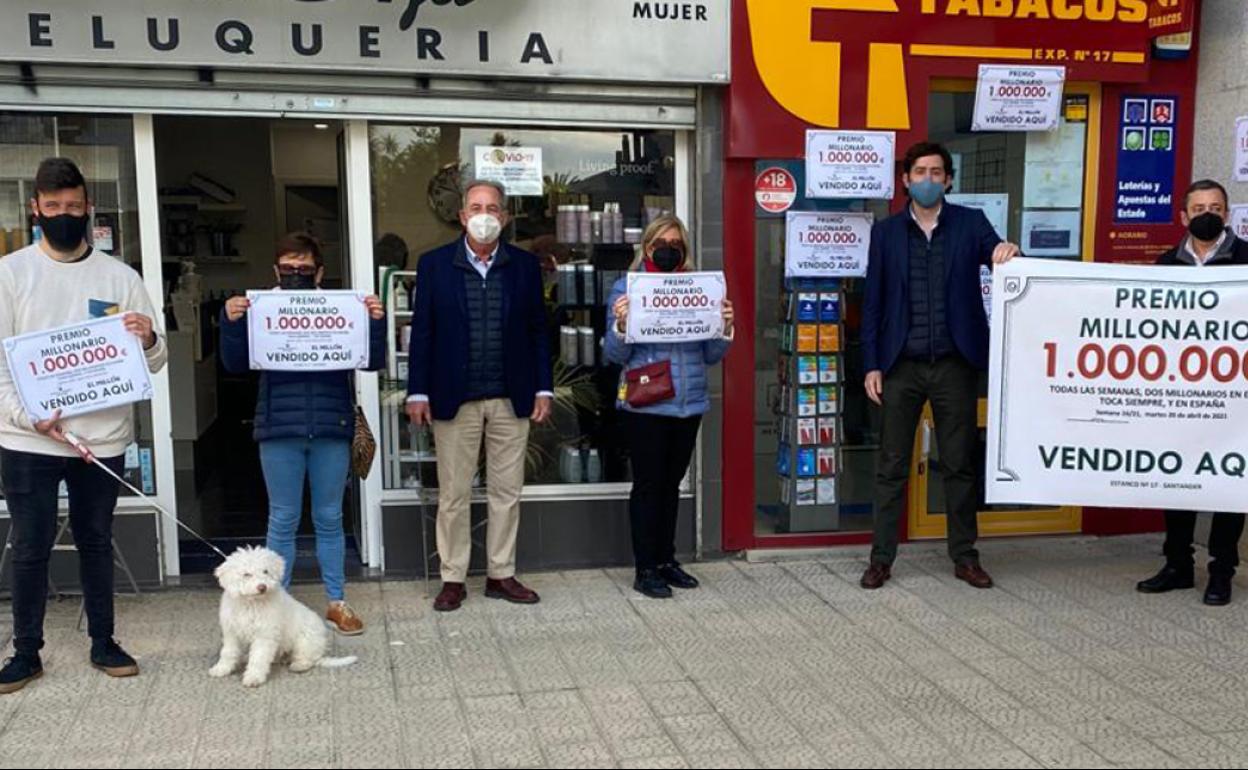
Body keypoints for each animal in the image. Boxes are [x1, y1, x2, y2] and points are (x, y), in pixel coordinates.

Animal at [208, 544, 356, 688]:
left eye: (265, 571)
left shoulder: (264, 635)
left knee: (308, 658)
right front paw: (221, 669)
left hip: (305, 640)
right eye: (247, 574)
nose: (262, 587)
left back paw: (299, 665)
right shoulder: (231, 633)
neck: (252, 603)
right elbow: (228, 652)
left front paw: (253, 677)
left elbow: (258, 657)